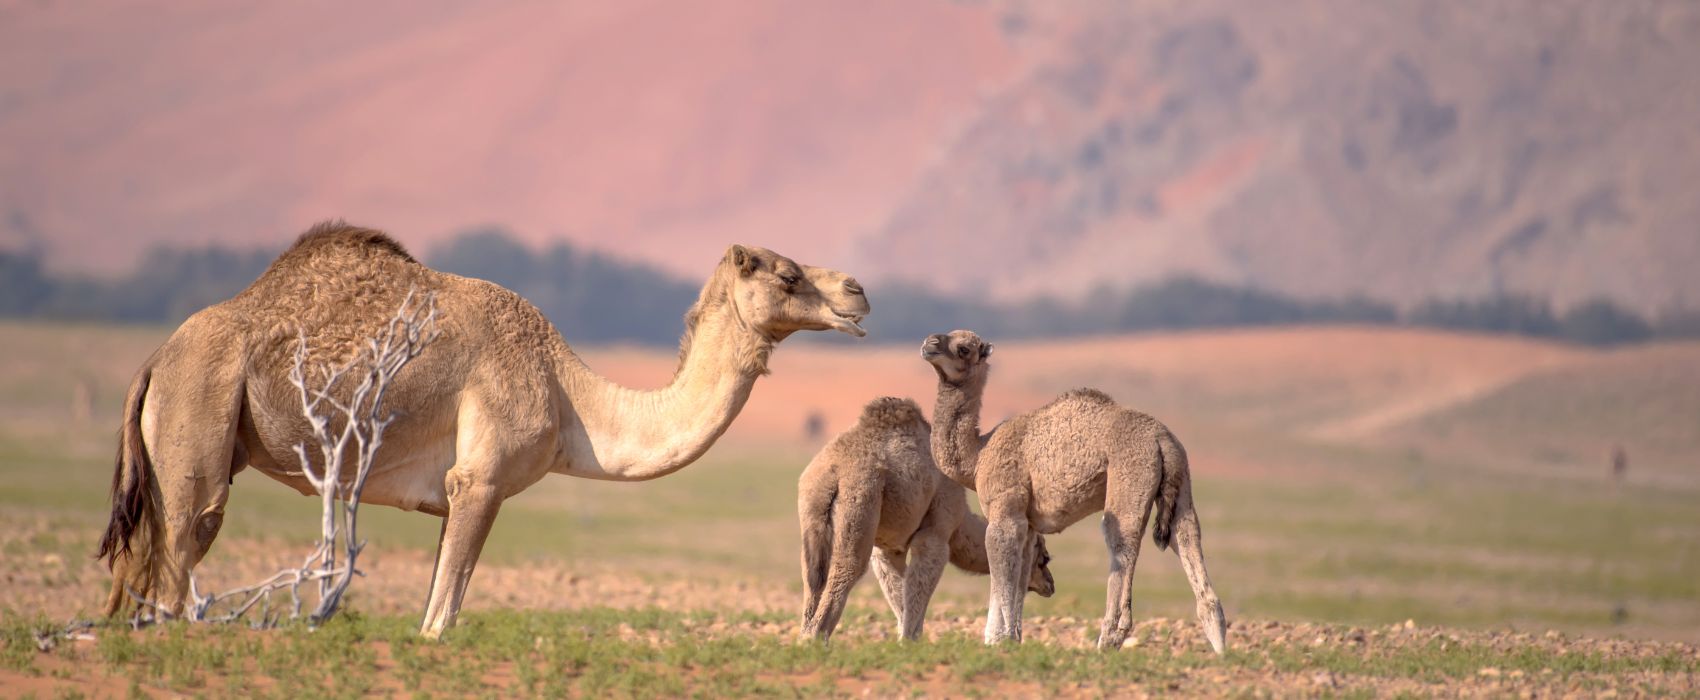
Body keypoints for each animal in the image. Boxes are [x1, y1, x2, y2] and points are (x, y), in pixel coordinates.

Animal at [94, 221, 871, 638]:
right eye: (788, 274)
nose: (859, 291)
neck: (567, 397)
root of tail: (155, 360)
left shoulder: (451, 493)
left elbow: (438, 604)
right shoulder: (483, 477)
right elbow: (442, 618)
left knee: (139, 569)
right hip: (200, 415)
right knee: (184, 548)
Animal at [797, 397, 1054, 642]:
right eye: (1044, 558)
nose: (1050, 585)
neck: (961, 522)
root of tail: (831, 474)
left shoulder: (888, 548)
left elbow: (900, 591)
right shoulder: (937, 529)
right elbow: (920, 582)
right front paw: (910, 641)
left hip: (810, 515)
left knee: (812, 578)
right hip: (860, 502)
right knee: (847, 569)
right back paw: (815, 640)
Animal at [921, 330, 1226, 653]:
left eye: (964, 348)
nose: (929, 344)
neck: (978, 456)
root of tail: (1161, 439)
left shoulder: (1005, 509)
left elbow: (1001, 568)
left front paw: (995, 640)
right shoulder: (1029, 522)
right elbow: (1021, 572)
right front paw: (1013, 639)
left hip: (1129, 479)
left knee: (1122, 542)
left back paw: (1107, 641)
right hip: (1181, 480)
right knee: (1187, 537)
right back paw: (1220, 649)